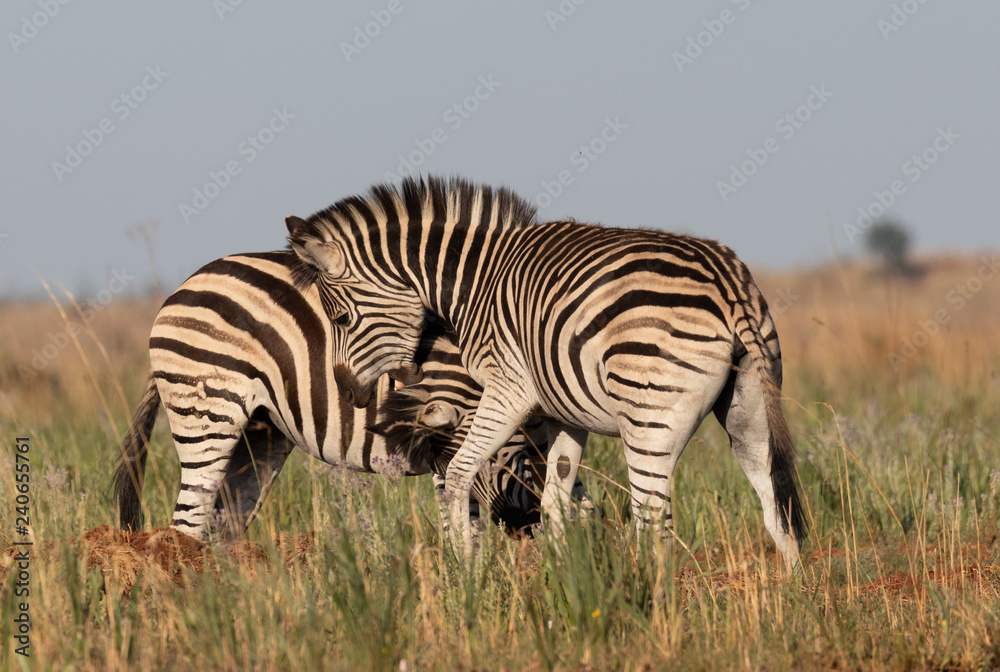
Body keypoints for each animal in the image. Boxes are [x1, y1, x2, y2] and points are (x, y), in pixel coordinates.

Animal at [113, 250, 589, 541]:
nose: (521, 526)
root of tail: (186, 284)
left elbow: (580, 503)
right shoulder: (446, 439)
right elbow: (464, 523)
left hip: (259, 434)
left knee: (221, 528)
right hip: (209, 411)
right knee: (188, 523)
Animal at [285, 176, 806, 570]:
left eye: (341, 318)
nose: (349, 393)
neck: (474, 283)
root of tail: (725, 279)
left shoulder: (508, 387)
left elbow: (461, 472)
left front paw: (466, 574)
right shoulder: (564, 411)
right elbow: (557, 500)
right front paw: (565, 581)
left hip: (648, 416)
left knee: (653, 518)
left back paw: (650, 603)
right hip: (748, 403)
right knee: (775, 504)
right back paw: (793, 599)